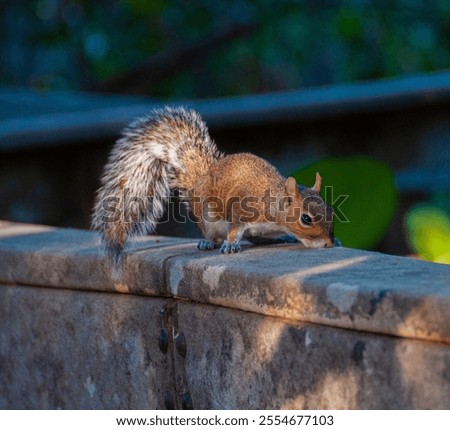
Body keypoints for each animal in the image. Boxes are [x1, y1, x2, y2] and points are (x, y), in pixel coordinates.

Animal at [92, 106, 334, 266]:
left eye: (331, 211)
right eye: (306, 219)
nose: (329, 244)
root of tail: (201, 179)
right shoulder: (242, 208)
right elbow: (234, 229)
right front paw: (230, 244)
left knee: (255, 238)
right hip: (208, 219)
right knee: (215, 235)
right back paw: (209, 243)